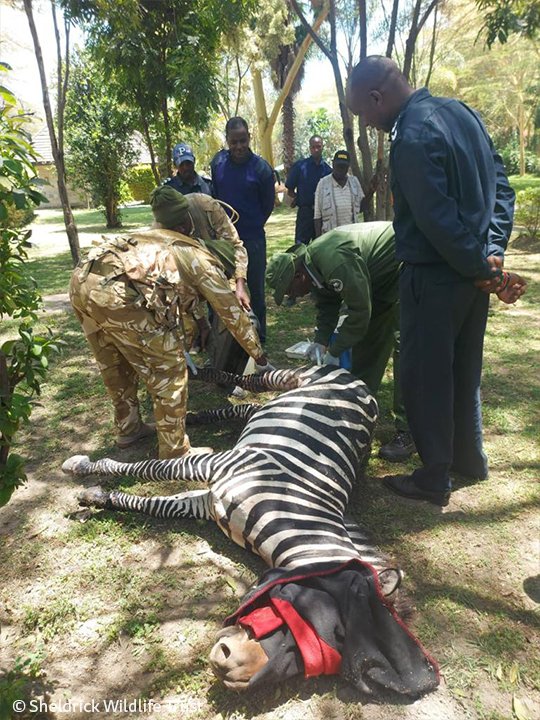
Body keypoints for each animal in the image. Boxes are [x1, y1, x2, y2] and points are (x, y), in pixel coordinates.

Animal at [62, 365, 439, 700]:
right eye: (325, 622)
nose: (228, 672)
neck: (293, 510)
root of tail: (368, 389)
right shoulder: (218, 465)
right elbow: (150, 468)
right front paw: (84, 466)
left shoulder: (206, 501)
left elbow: (159, 505)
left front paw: (97, 497)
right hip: (298, 377)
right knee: (255, 379)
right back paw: (197, 373)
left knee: (250, 408)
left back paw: (196, 415)